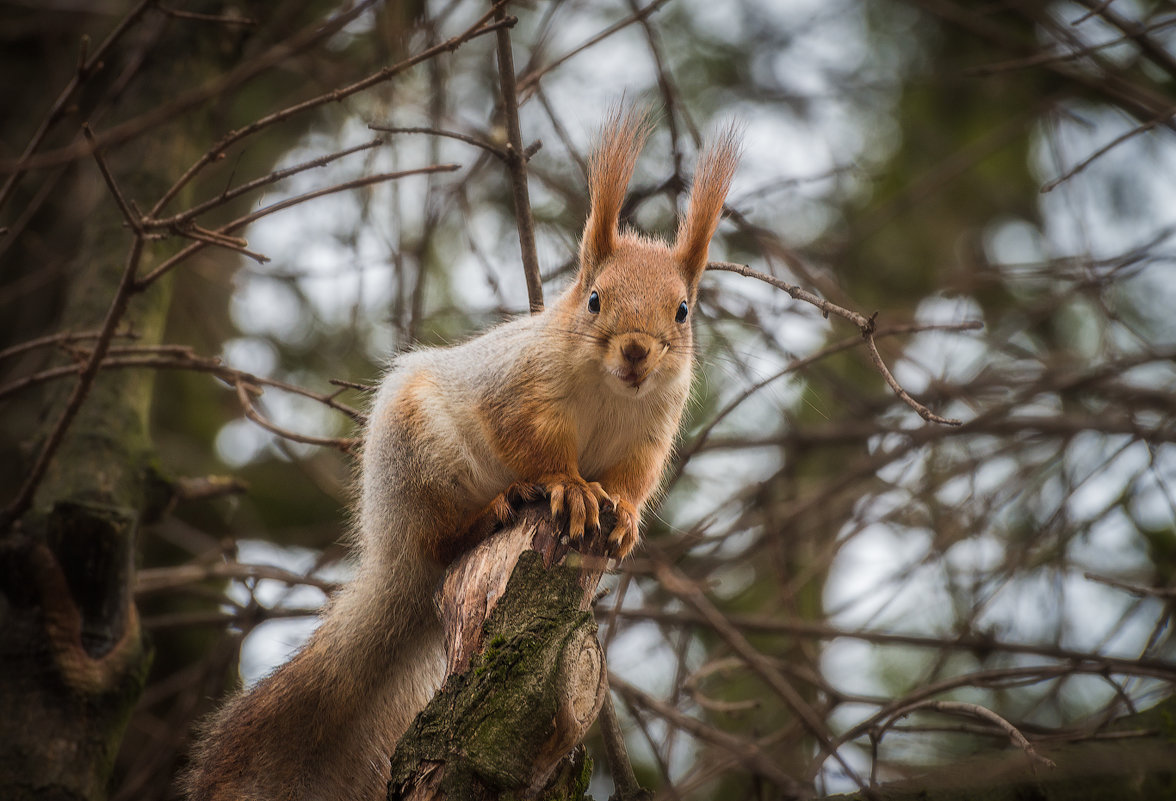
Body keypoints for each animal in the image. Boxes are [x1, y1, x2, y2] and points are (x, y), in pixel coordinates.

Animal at [182, 109, 738, 799]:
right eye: (594, 299)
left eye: (683, 311)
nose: (637, 352)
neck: (610, 391)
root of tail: (395, 561)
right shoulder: (517, 392)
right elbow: (534, 445)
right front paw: (569, 487)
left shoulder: (650, 434)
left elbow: (632, 481)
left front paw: (624, 517)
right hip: (424, 460)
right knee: (444, 539)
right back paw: (498, 507)